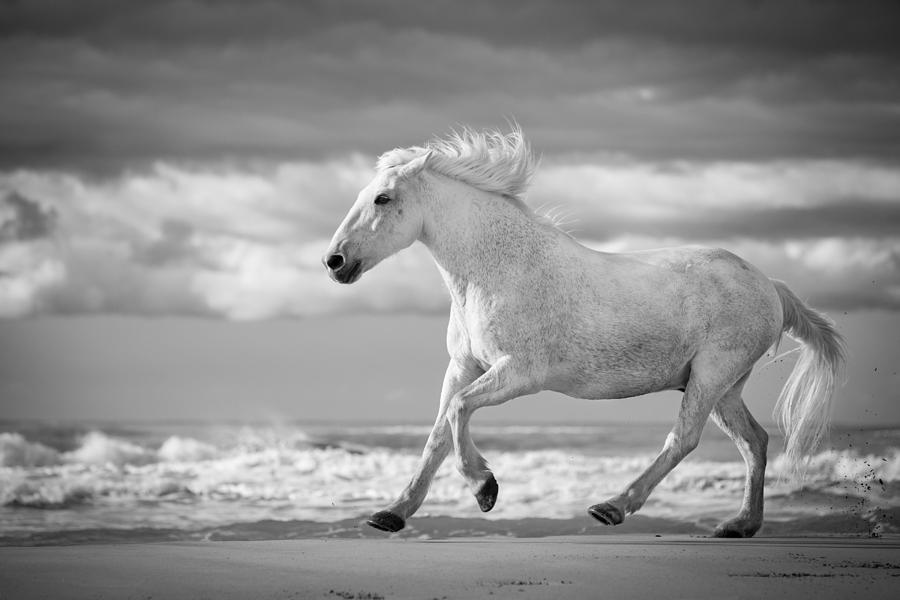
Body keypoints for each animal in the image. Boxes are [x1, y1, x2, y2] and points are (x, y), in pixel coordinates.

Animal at [322, 126, 844, 540]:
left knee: (684, 439)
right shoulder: (464, 366)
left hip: (711, 376)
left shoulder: (520, 373)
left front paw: (485, 488)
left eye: (383, 198)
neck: (498, 270)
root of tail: (771, 285)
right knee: (755, 441)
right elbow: (437, 435)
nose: (334, 262)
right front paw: (392, 513)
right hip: (723, 386)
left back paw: (612, 507)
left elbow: (458, 411)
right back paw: (739, 525)